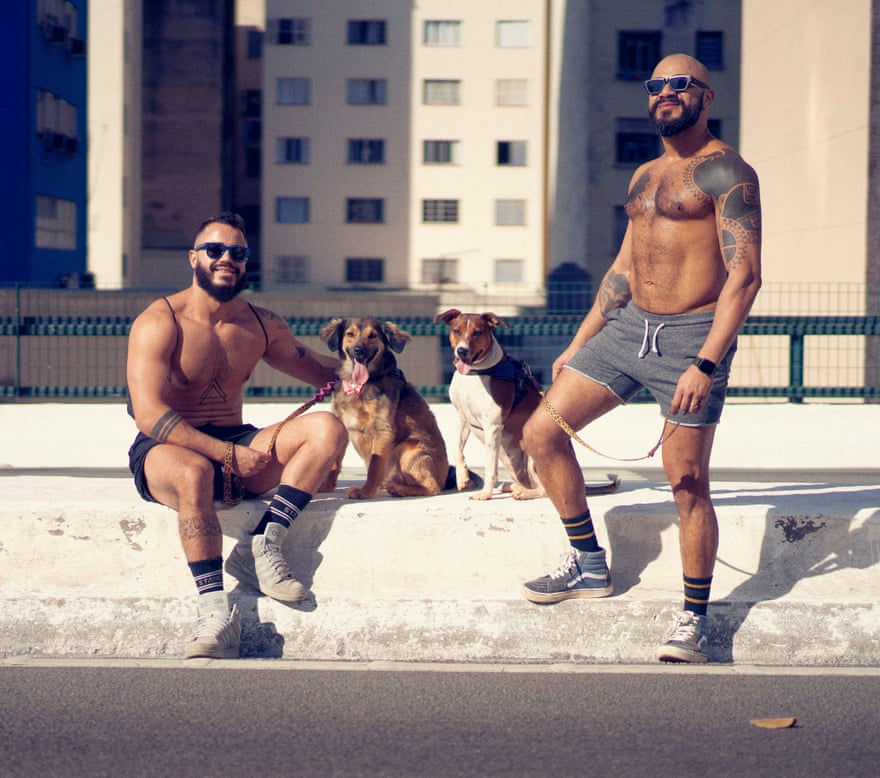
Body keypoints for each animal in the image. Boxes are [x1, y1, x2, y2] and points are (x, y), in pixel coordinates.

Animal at [320, 316, 450, 498]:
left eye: (373, 335)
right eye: (350, 334)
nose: (359, 350)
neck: (359, 384)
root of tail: (444, 478)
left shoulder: (383, 429)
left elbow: (374, 467)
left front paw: (365, 492)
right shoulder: (341, 425)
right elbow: (334, 462)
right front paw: (326, 485)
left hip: (409, 449)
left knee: (433, 488)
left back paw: (397, 489)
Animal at [434, 306, 620, 500]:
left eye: (477, 332)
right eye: (457, 331)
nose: (462, 351)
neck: (476, 372)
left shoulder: (492, 426)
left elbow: (490, 467)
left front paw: (485, 493)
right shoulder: (462, 418)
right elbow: (456, 449)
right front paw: (462, 477)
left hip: (534, 456)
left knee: (545, 490)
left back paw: (522, 493)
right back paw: (512, 486)